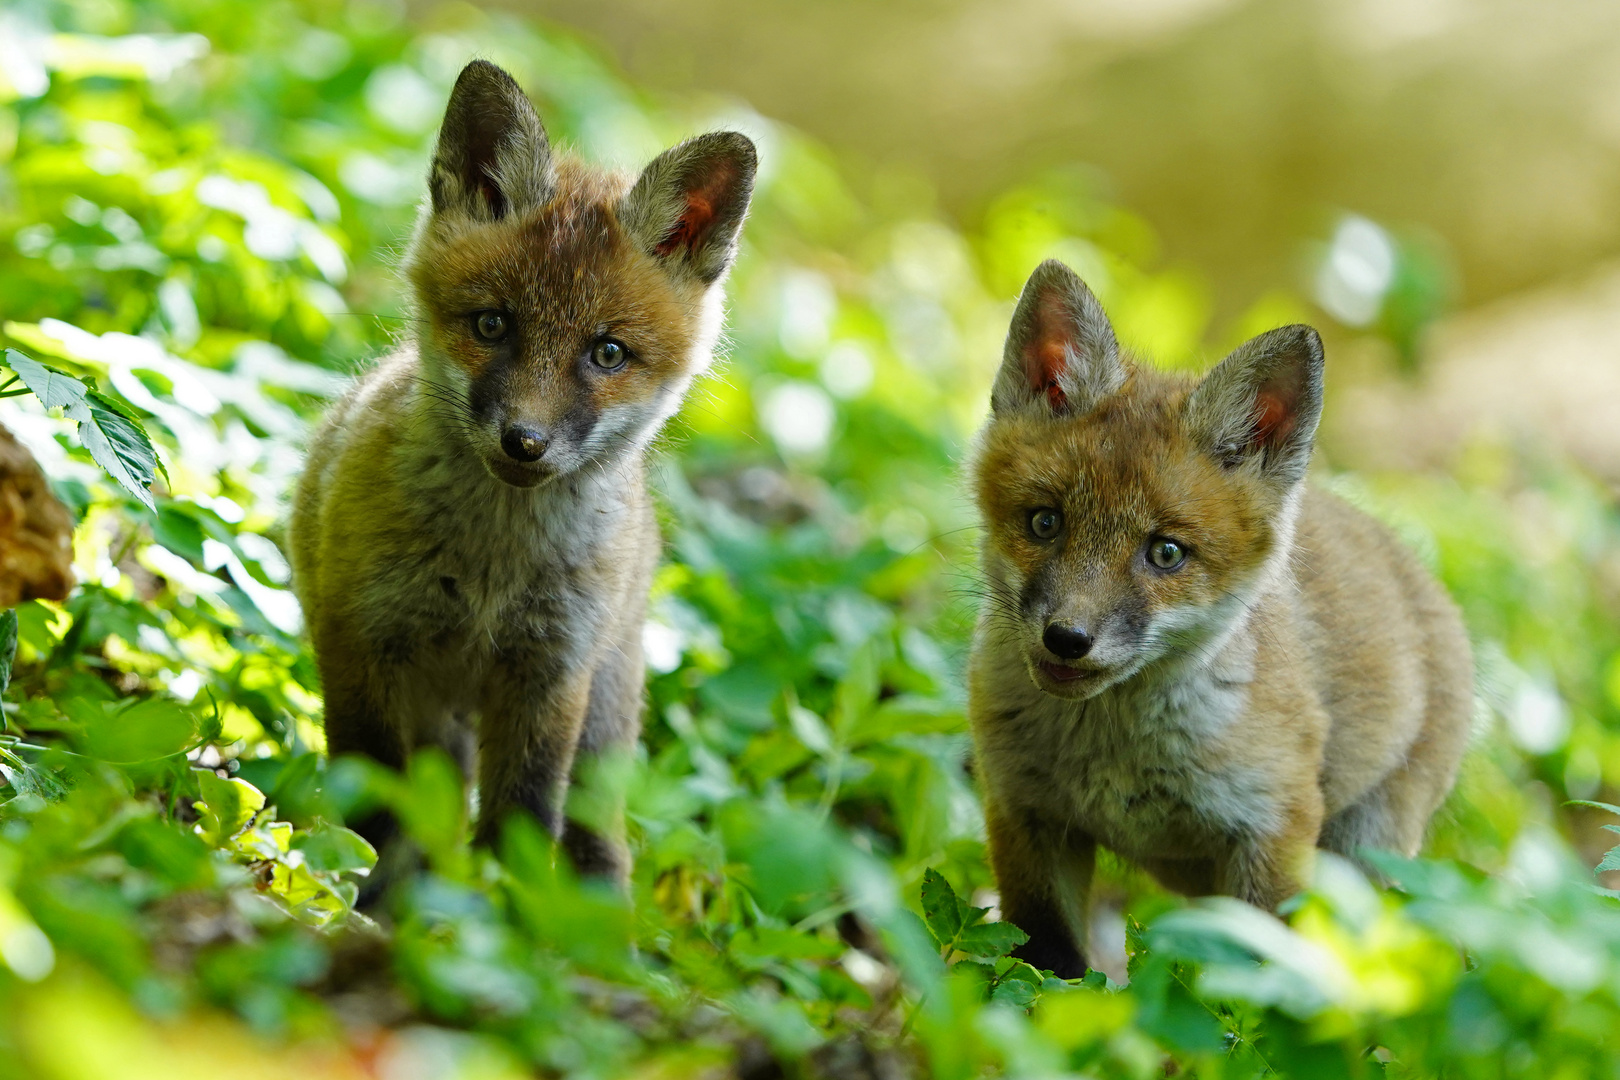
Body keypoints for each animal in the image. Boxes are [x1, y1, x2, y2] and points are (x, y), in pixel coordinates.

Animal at [288, 61, 754, 887]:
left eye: (607, 353)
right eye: (492, 324)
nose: (524, 442)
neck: (491, 573)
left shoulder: (550, 675)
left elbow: (523, 823)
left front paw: (511, 916)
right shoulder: (361, 641)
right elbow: (375, 814)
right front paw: (368, 897)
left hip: (602, 721)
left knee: (595, 836)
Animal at [965, 257, 1477, 977]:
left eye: (1165, 553)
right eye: (1045, 522)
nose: (1067, 638)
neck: (1112, 757)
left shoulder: (1273, 830)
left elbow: (1253, 981)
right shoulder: (1026, 817)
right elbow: (1044, 970)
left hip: (1362, 857)